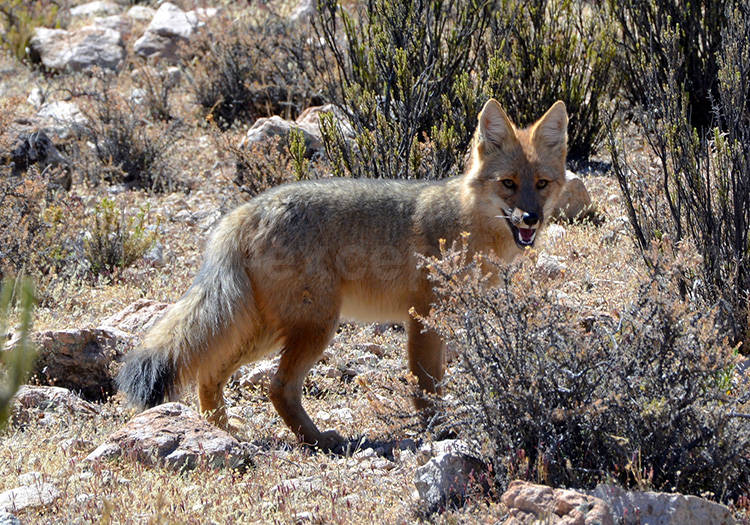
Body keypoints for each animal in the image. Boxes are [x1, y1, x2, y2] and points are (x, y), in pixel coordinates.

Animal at [116, 99, 568, 449]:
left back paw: (223, 431)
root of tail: (245, 211)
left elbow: (435, 383)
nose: (530, 218)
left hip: (267, 330)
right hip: (315, 327)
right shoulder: (422, 319)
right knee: (277, 387)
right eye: (508, 184)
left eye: (542, 184)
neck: (465, 223)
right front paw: (440, 433)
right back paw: (318, 441)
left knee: (211, 371)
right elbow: (427, 388)